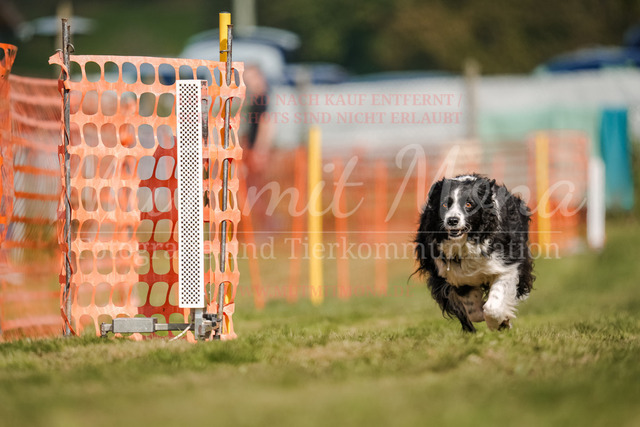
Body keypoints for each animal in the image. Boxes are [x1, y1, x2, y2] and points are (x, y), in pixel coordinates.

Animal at [414, 174, 534, 332]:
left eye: (469, 204)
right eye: (444, 205)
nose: (452, 220)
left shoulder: (506, 265)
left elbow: (492, 308)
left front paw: (500, 323)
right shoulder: (456, 276)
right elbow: (474, 312)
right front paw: (500, 321)